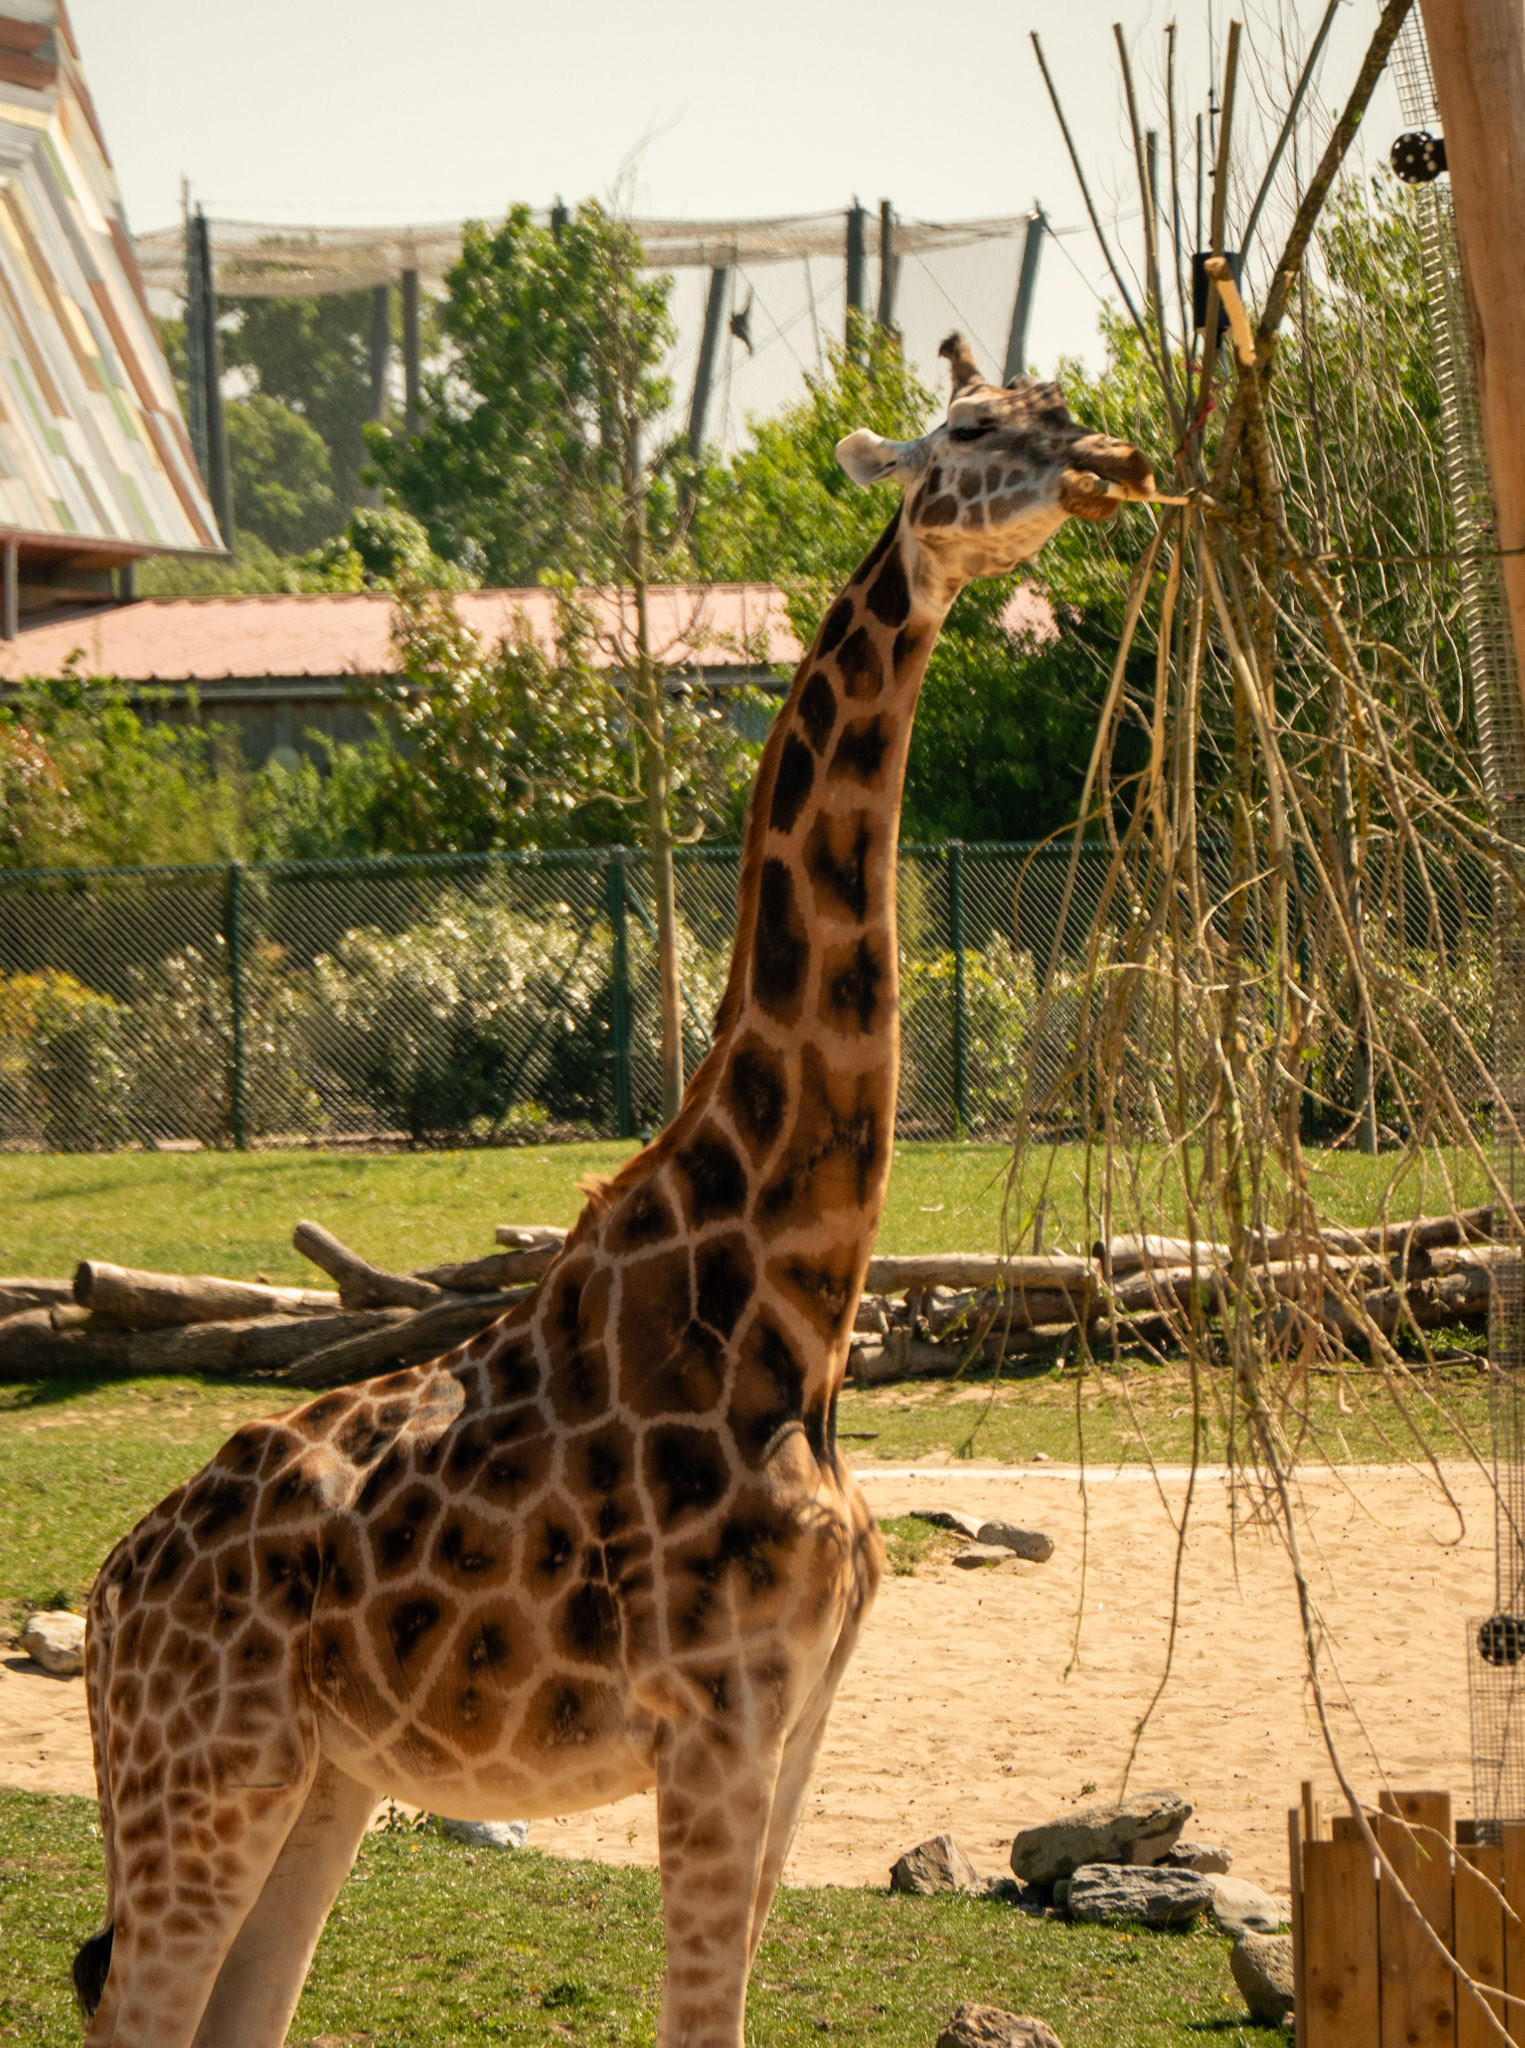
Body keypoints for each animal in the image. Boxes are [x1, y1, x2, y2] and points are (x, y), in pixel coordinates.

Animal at [74, 335, 1154, 2048]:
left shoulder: (798, 1724)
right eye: (976, 430)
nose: (1112, 464)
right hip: (199, 1778)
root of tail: (109, 1605)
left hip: (315, 1782)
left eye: (1064, 406)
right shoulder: (712, 1723)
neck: (794, 1311)